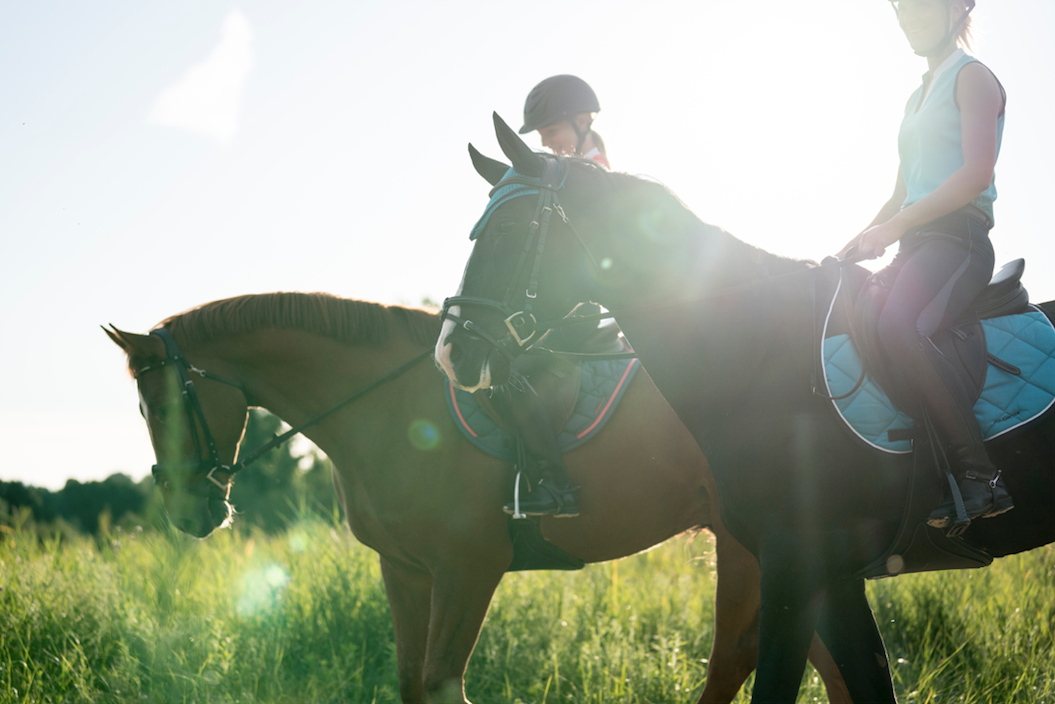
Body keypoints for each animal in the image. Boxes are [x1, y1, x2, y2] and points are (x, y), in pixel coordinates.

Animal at [105, 292, 852, 704]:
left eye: (164, 404)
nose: (188, 514)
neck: (387, 406)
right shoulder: (405, 569)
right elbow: (412, 681)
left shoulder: (468, 567)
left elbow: (441, 683)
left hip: (747, 544)